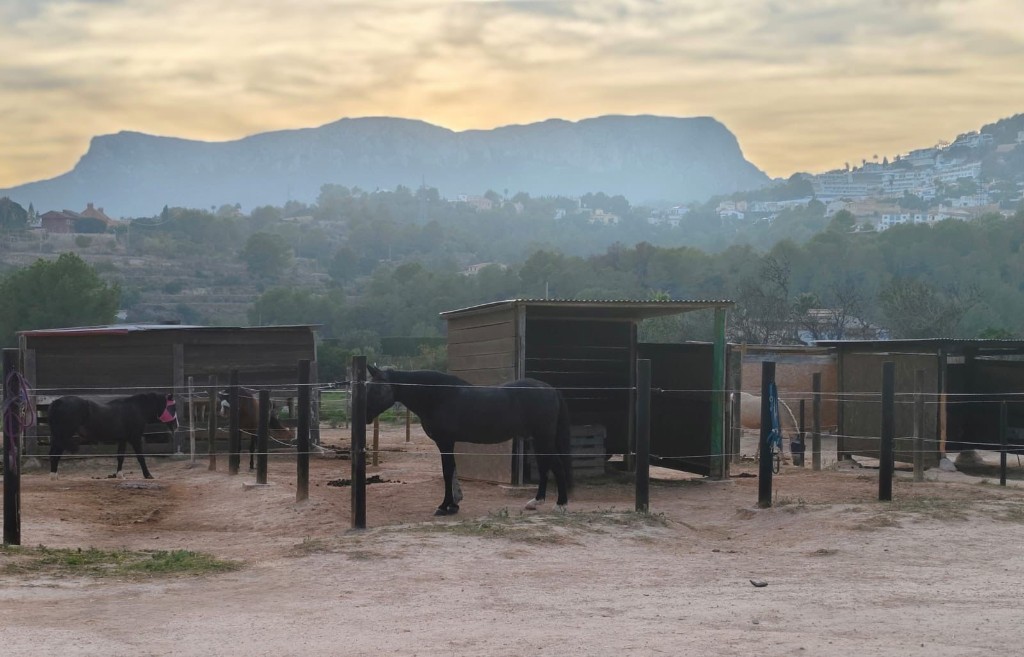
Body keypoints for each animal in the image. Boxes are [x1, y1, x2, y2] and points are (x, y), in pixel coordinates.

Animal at [47, 392, 179, 479]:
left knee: (54, 454)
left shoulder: (123, 439)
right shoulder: (135, 439)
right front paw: (148, 475)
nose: (176, 425)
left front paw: (120, 475)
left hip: (58, 436)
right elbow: (141, 457)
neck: (136, 409)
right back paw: (54, 476)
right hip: (63, 435)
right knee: (55, 454)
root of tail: (57, 402)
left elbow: (120, 457)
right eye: (172, 407)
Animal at [365, 365, 572, 516]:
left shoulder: (445, 442)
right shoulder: (448, 443)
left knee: (557, 466)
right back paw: (536, 502)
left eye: (375, 389)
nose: (364, 416)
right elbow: (452, 471)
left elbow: (447, 472)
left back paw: (560, 505)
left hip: (543, 438)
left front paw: (445, 506)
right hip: (537, 440)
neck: (437, 396)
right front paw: (454, 504)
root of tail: (551, 389)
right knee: (546, 466)